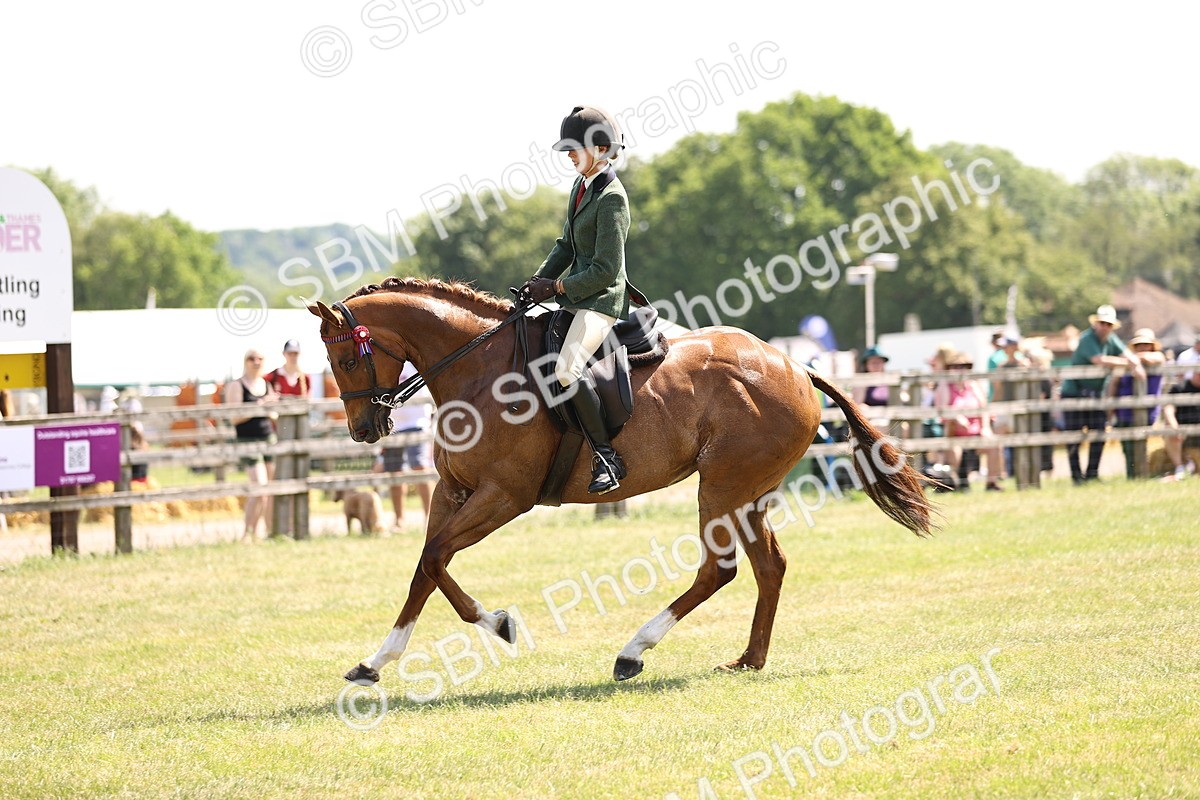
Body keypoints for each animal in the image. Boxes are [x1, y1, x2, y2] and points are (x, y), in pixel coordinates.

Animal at [310, 277, 936, 686]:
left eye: (346, 361)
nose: (365, 429)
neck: (478, 368)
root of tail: (794, 366)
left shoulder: (503, 497)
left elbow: (438, 557)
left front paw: (500, 623)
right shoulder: (453, 491)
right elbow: (426, 567)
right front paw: (375, 661)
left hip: (722, 488)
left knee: (719, 570)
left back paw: (633, 652)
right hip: (749, 492)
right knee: (769, 567)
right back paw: (748, 660)